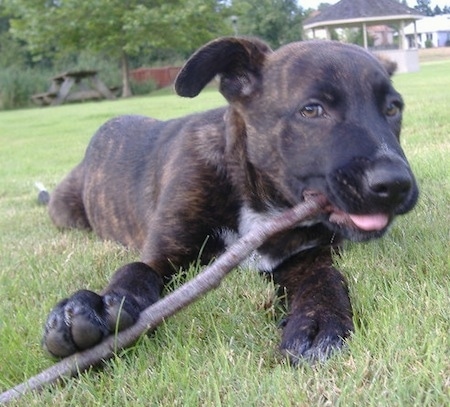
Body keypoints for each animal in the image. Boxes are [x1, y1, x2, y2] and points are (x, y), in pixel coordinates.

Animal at [42, 37, 418, 364]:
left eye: (393, 108)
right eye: (312, 109)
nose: (396, 185)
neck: (260, 204)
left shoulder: (308, 257)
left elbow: (326, 279)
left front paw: (319, 320)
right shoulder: (165, 254)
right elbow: (135, 270)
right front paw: (93, 306)